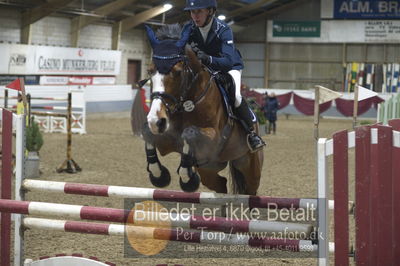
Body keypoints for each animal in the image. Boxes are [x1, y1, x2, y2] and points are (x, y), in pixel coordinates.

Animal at [141, 24, 262, 195]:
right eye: (150, 71)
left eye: (178, 72)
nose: (156, 121)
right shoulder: (166, 140)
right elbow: (147, 132)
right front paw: (159, 176)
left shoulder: (214, 137)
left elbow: (189, 133)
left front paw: (187, 177)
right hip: (209, 171)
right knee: (221, 184)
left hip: (250, 166)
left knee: (250, 188)